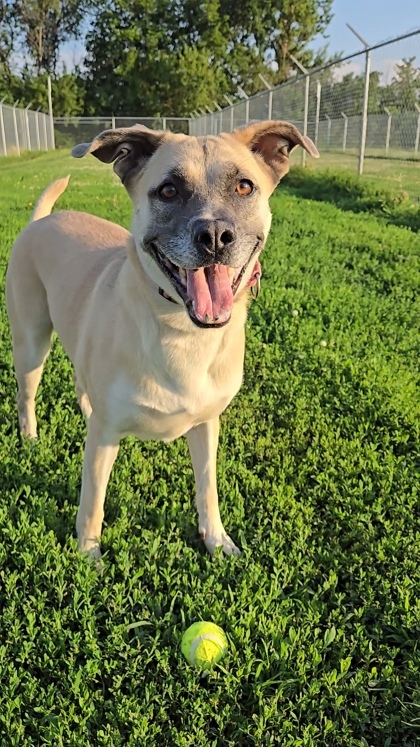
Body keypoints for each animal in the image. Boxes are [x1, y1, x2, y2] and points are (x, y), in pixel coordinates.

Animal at [6, 120, 318, 560]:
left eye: (244, 186)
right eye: (168, 190)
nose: (215, 235)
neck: (183, 334)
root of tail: (41, 220)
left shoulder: (206, 424)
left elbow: (208, 488)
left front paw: (216, 539)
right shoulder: (103, 440)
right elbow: (92, 502)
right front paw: (88, 556)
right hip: (31, 343)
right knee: (27, 396)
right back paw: (31, 438)